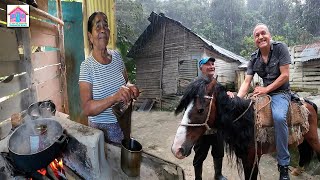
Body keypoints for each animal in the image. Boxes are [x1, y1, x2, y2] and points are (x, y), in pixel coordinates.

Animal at [171, 78, 320, 179]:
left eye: (201, 110)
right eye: (185, 107)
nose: (177, 149)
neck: (246, 122)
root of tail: (309, 103)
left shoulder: (252, 158)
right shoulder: (244, 156)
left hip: (312, 137)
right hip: (301, 138)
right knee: (304, 151)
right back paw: (298, 170)